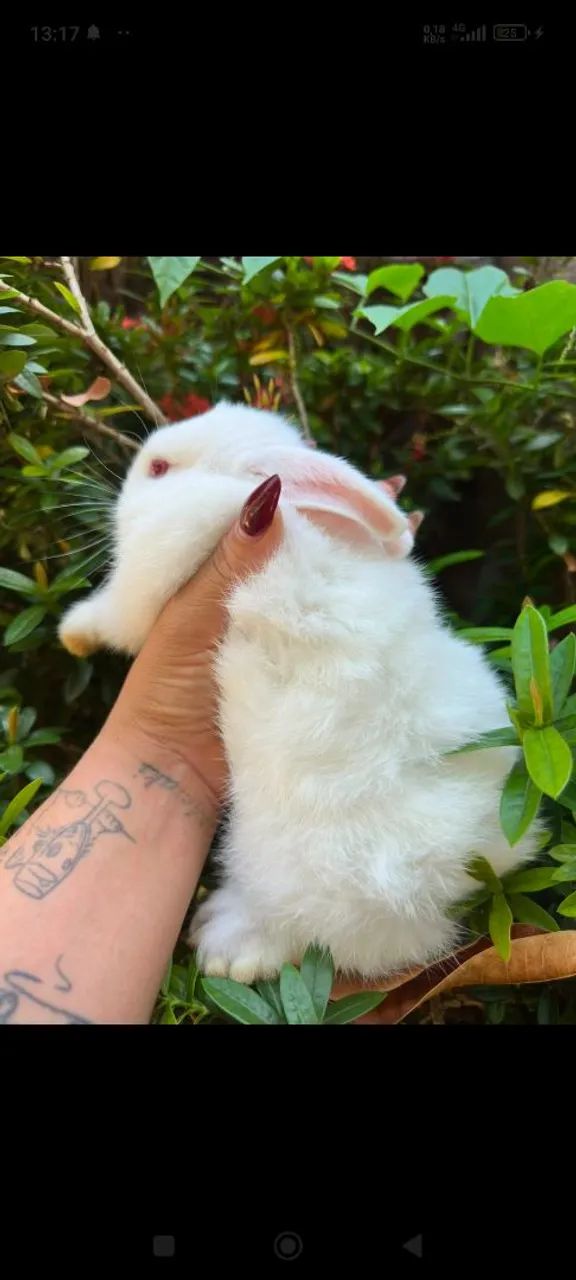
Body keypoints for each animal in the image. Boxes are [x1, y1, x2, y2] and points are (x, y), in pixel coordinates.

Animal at [59, 403, 539, 982]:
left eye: (158, 469)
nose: (128, 480)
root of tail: (459, 870)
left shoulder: (156, 567)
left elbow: (117, 615)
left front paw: (74, 632)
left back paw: (228, 950)